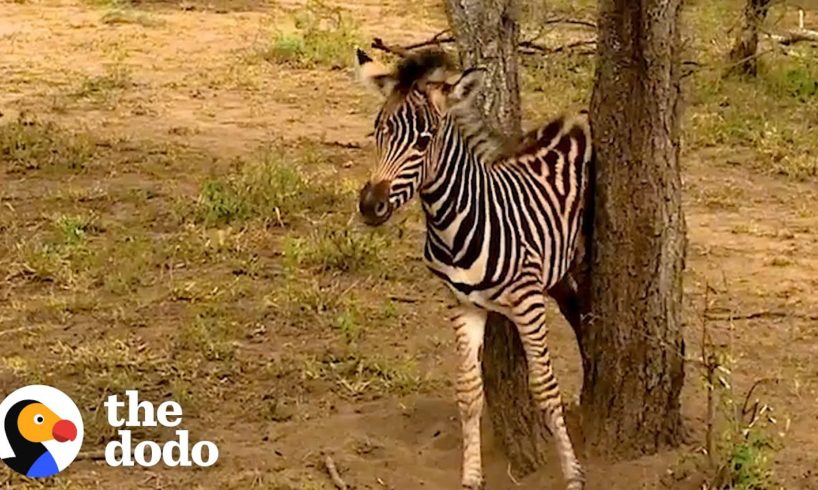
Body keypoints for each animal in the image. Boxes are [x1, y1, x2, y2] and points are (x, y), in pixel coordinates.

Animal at [354, 48, 588, 490]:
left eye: (424, 140)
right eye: (377, 131)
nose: (370, 205)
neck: (455, 223)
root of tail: (571, 119)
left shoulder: (528, 302)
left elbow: (545, 389)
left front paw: (573, 476)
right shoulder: (463, 304)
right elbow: (469, 391)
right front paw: (472, 476)